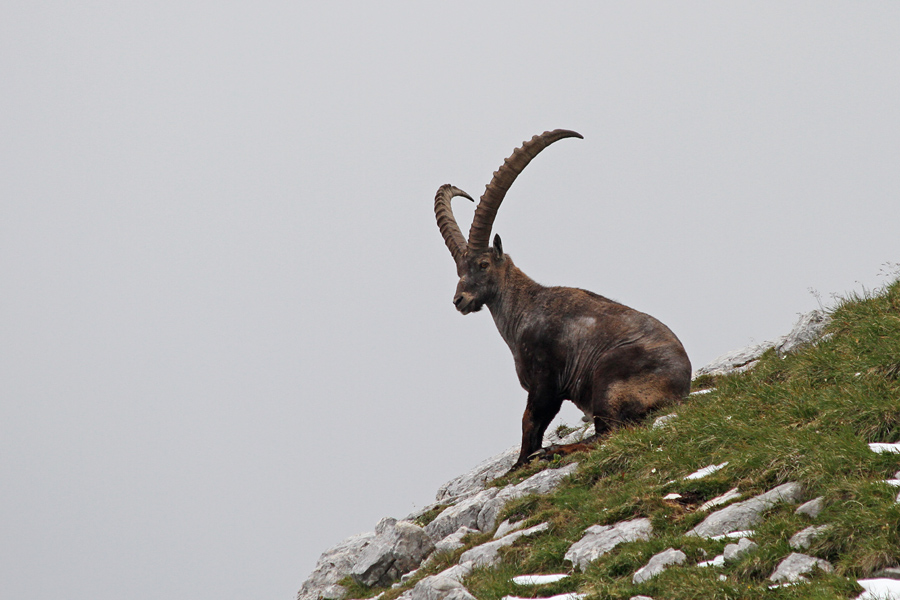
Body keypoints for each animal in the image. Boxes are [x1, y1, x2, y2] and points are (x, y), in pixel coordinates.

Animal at [434, 129, 692, 470]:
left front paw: (520, 464)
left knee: (609, 433)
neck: (525, 308)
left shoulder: (546, 379)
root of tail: (680, 387)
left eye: (483, 264)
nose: (459, 300)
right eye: (459, 270)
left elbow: (530, 422)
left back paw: (556, 451)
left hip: (608, 382)